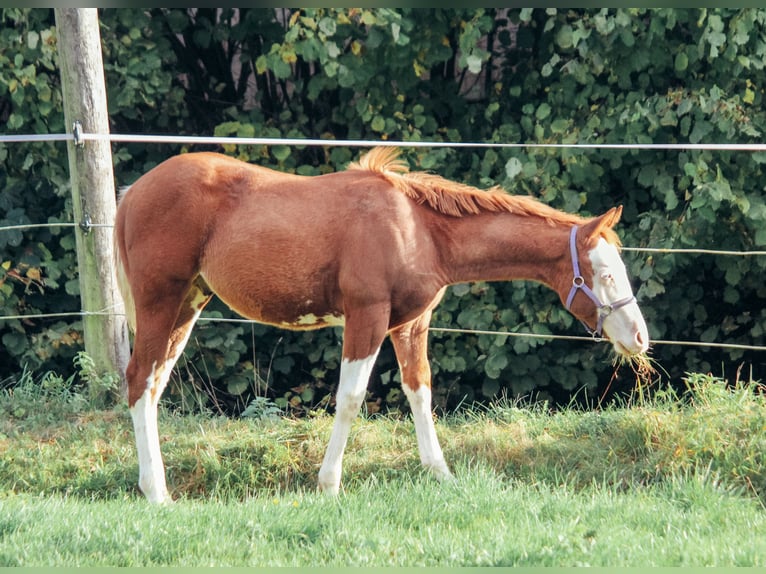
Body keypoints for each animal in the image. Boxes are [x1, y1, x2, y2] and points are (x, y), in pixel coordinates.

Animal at [114, 147, 649, 503]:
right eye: (605, 274)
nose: (640, 338)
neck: (418, 229)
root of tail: (133, 191)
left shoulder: (410, 325)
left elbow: (421, 391)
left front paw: (441, 474)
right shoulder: (366, 317)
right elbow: (350, 398)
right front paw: (329, 485)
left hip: (188, 304)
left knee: (154, 386)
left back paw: (151, 483)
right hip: (161, 300)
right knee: (139, 380)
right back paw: (157, 492)